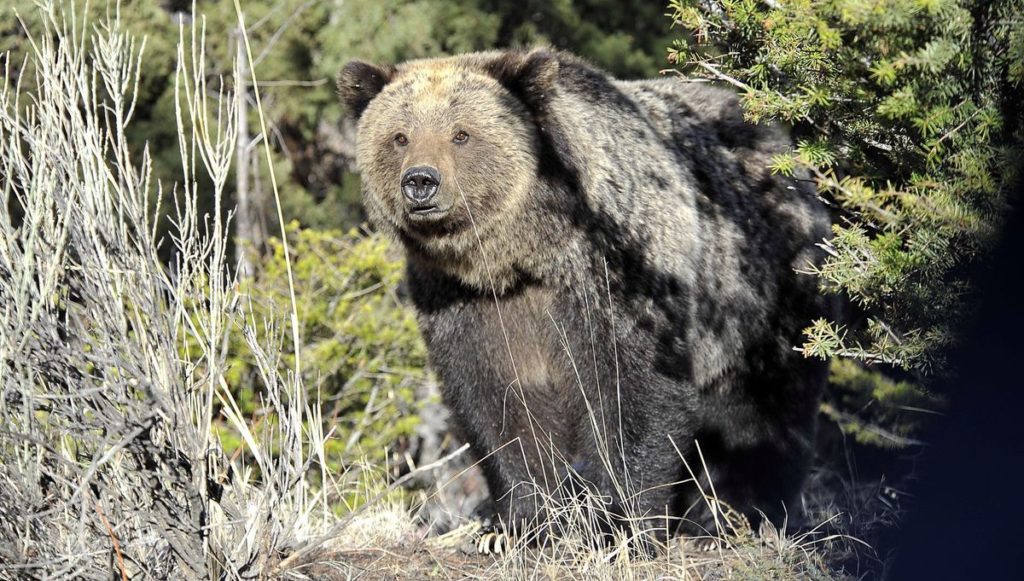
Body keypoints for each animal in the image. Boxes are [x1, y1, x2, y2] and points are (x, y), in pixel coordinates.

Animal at [339, 49, 835, 549]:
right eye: (400, 136)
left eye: (461, 133)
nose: (421, 181)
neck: (521, 258)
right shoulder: (463, 303)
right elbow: (499, 408)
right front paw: (514, 524)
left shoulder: (617, 275)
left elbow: (632, 396)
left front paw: (618, 524)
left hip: (764, 297)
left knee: (766, 415)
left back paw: (736, 516)